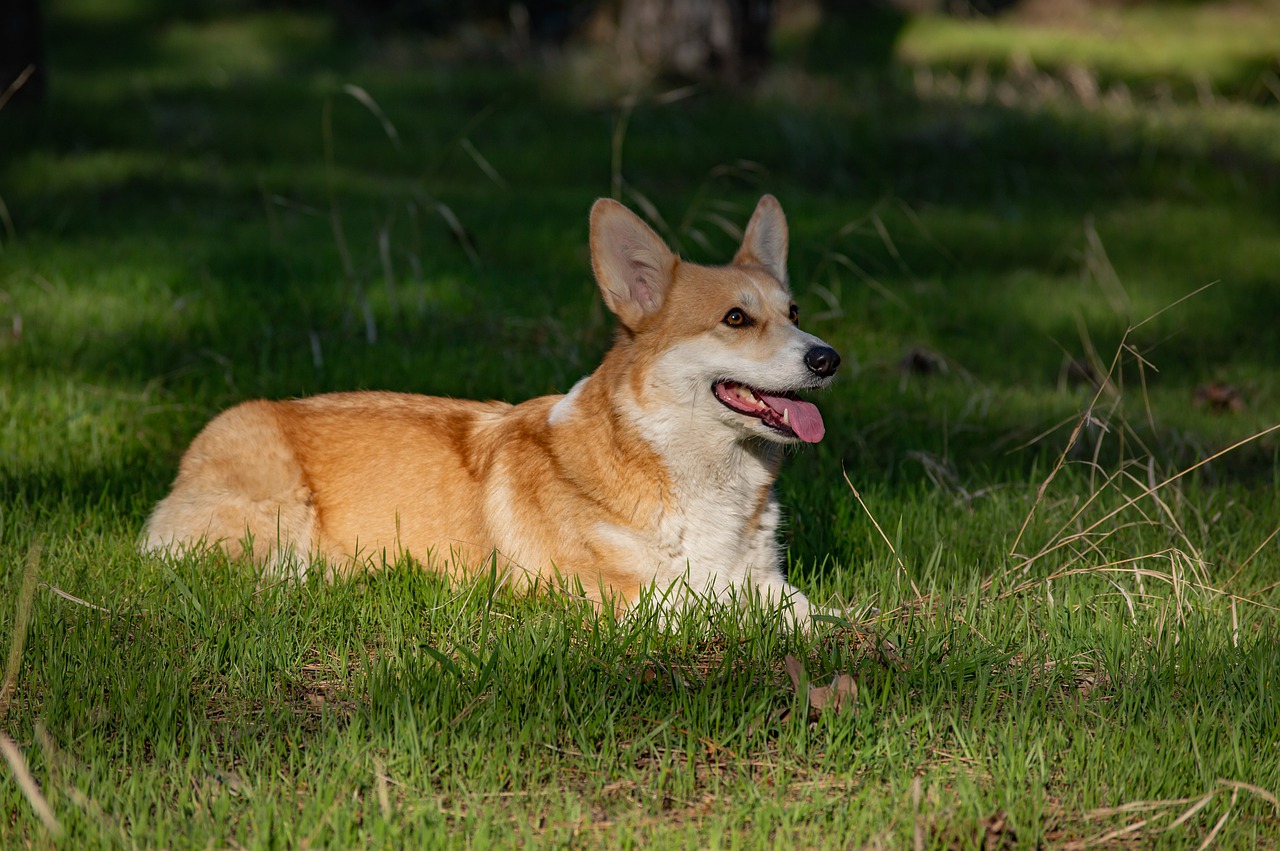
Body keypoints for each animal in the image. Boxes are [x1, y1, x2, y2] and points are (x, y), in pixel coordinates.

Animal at [142, 194, 839, 624]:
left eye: (794, 312)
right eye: (736, 319)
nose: (828, 358)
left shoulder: (765, 581)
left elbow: (812, 613)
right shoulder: (615, 600)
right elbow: (714, 613)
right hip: (278, 512)